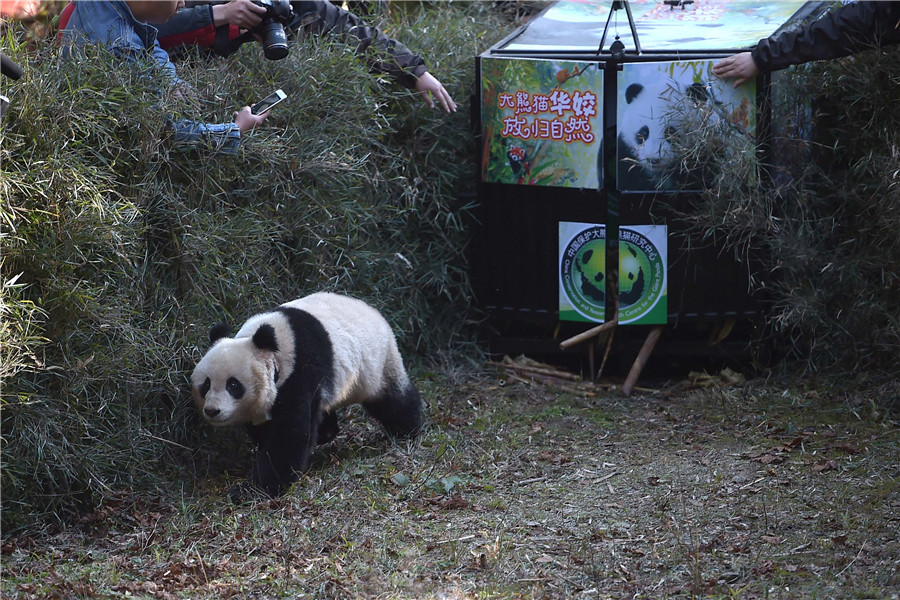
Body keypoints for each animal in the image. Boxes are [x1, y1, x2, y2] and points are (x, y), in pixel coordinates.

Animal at [190, 292, 422, 500]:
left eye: (233, 384)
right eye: (206, 385)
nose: (212, 410)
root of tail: (374, 311)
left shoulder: (300, 372)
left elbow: (289, 435)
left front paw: (250, 490)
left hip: (377, 363)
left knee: (393, 400)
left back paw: (409, 427)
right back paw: (327, 431)